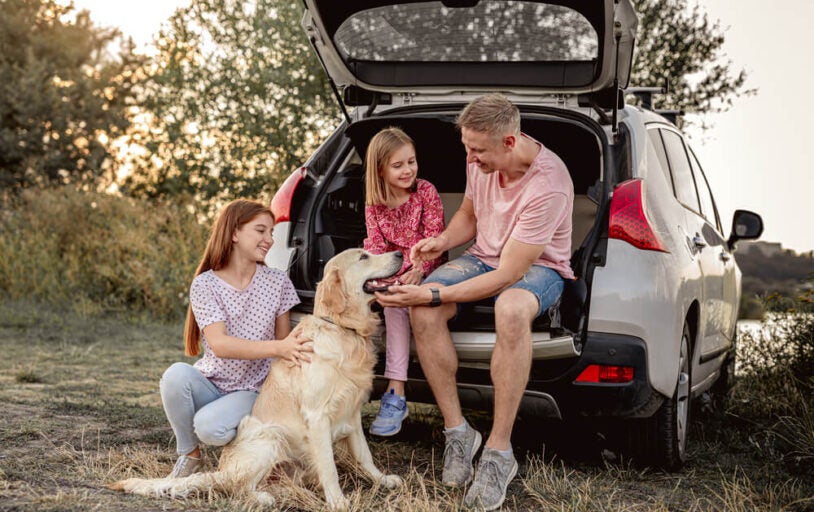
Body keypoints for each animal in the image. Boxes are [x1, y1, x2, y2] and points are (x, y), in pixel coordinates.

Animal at [113, 248, 406, 508]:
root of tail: (222, 470)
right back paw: (262, 498)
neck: (342, 329)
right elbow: (329, 465)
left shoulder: (352, 413)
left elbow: (365, 455)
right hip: (270, 437)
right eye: (364, 256)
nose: (400, 253)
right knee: (237, 487)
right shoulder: (317, 417)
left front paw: (383, 479)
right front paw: (337, 500)